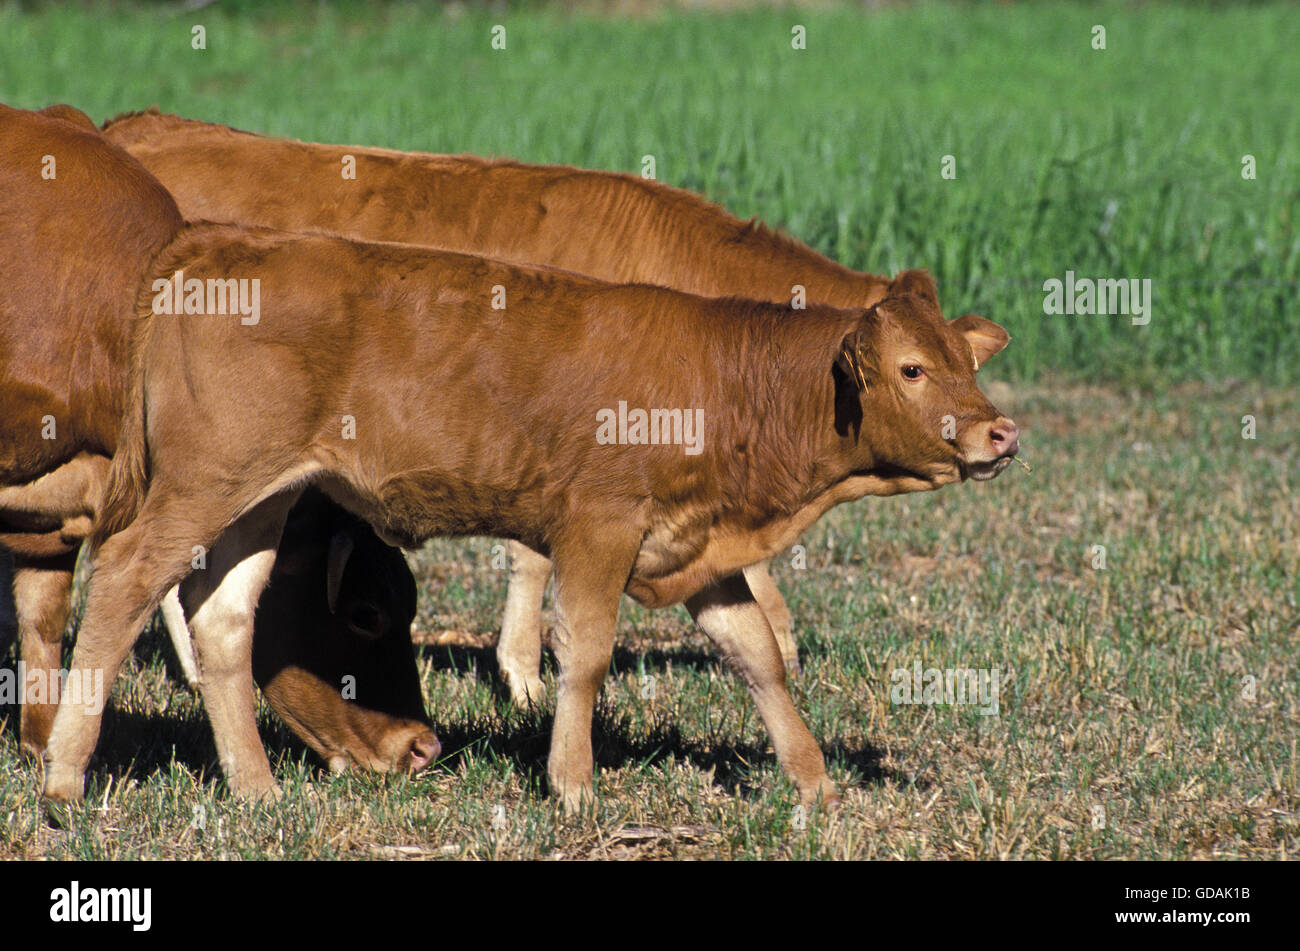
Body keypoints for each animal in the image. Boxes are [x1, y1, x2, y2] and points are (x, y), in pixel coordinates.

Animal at [40, 223, 1017, 813]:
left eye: (965, 362)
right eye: (911, 369)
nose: (998, 431)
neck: (727, 381)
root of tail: (213, 240)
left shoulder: (700, 549)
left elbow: (757, 658)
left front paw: (812, 785)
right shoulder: (599, 527)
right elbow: (582, 653)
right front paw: (574, 785)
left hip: (259, 501)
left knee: (224, 619)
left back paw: (256, 789)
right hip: (201, 487)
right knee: (124, 580)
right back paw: (62, 775)